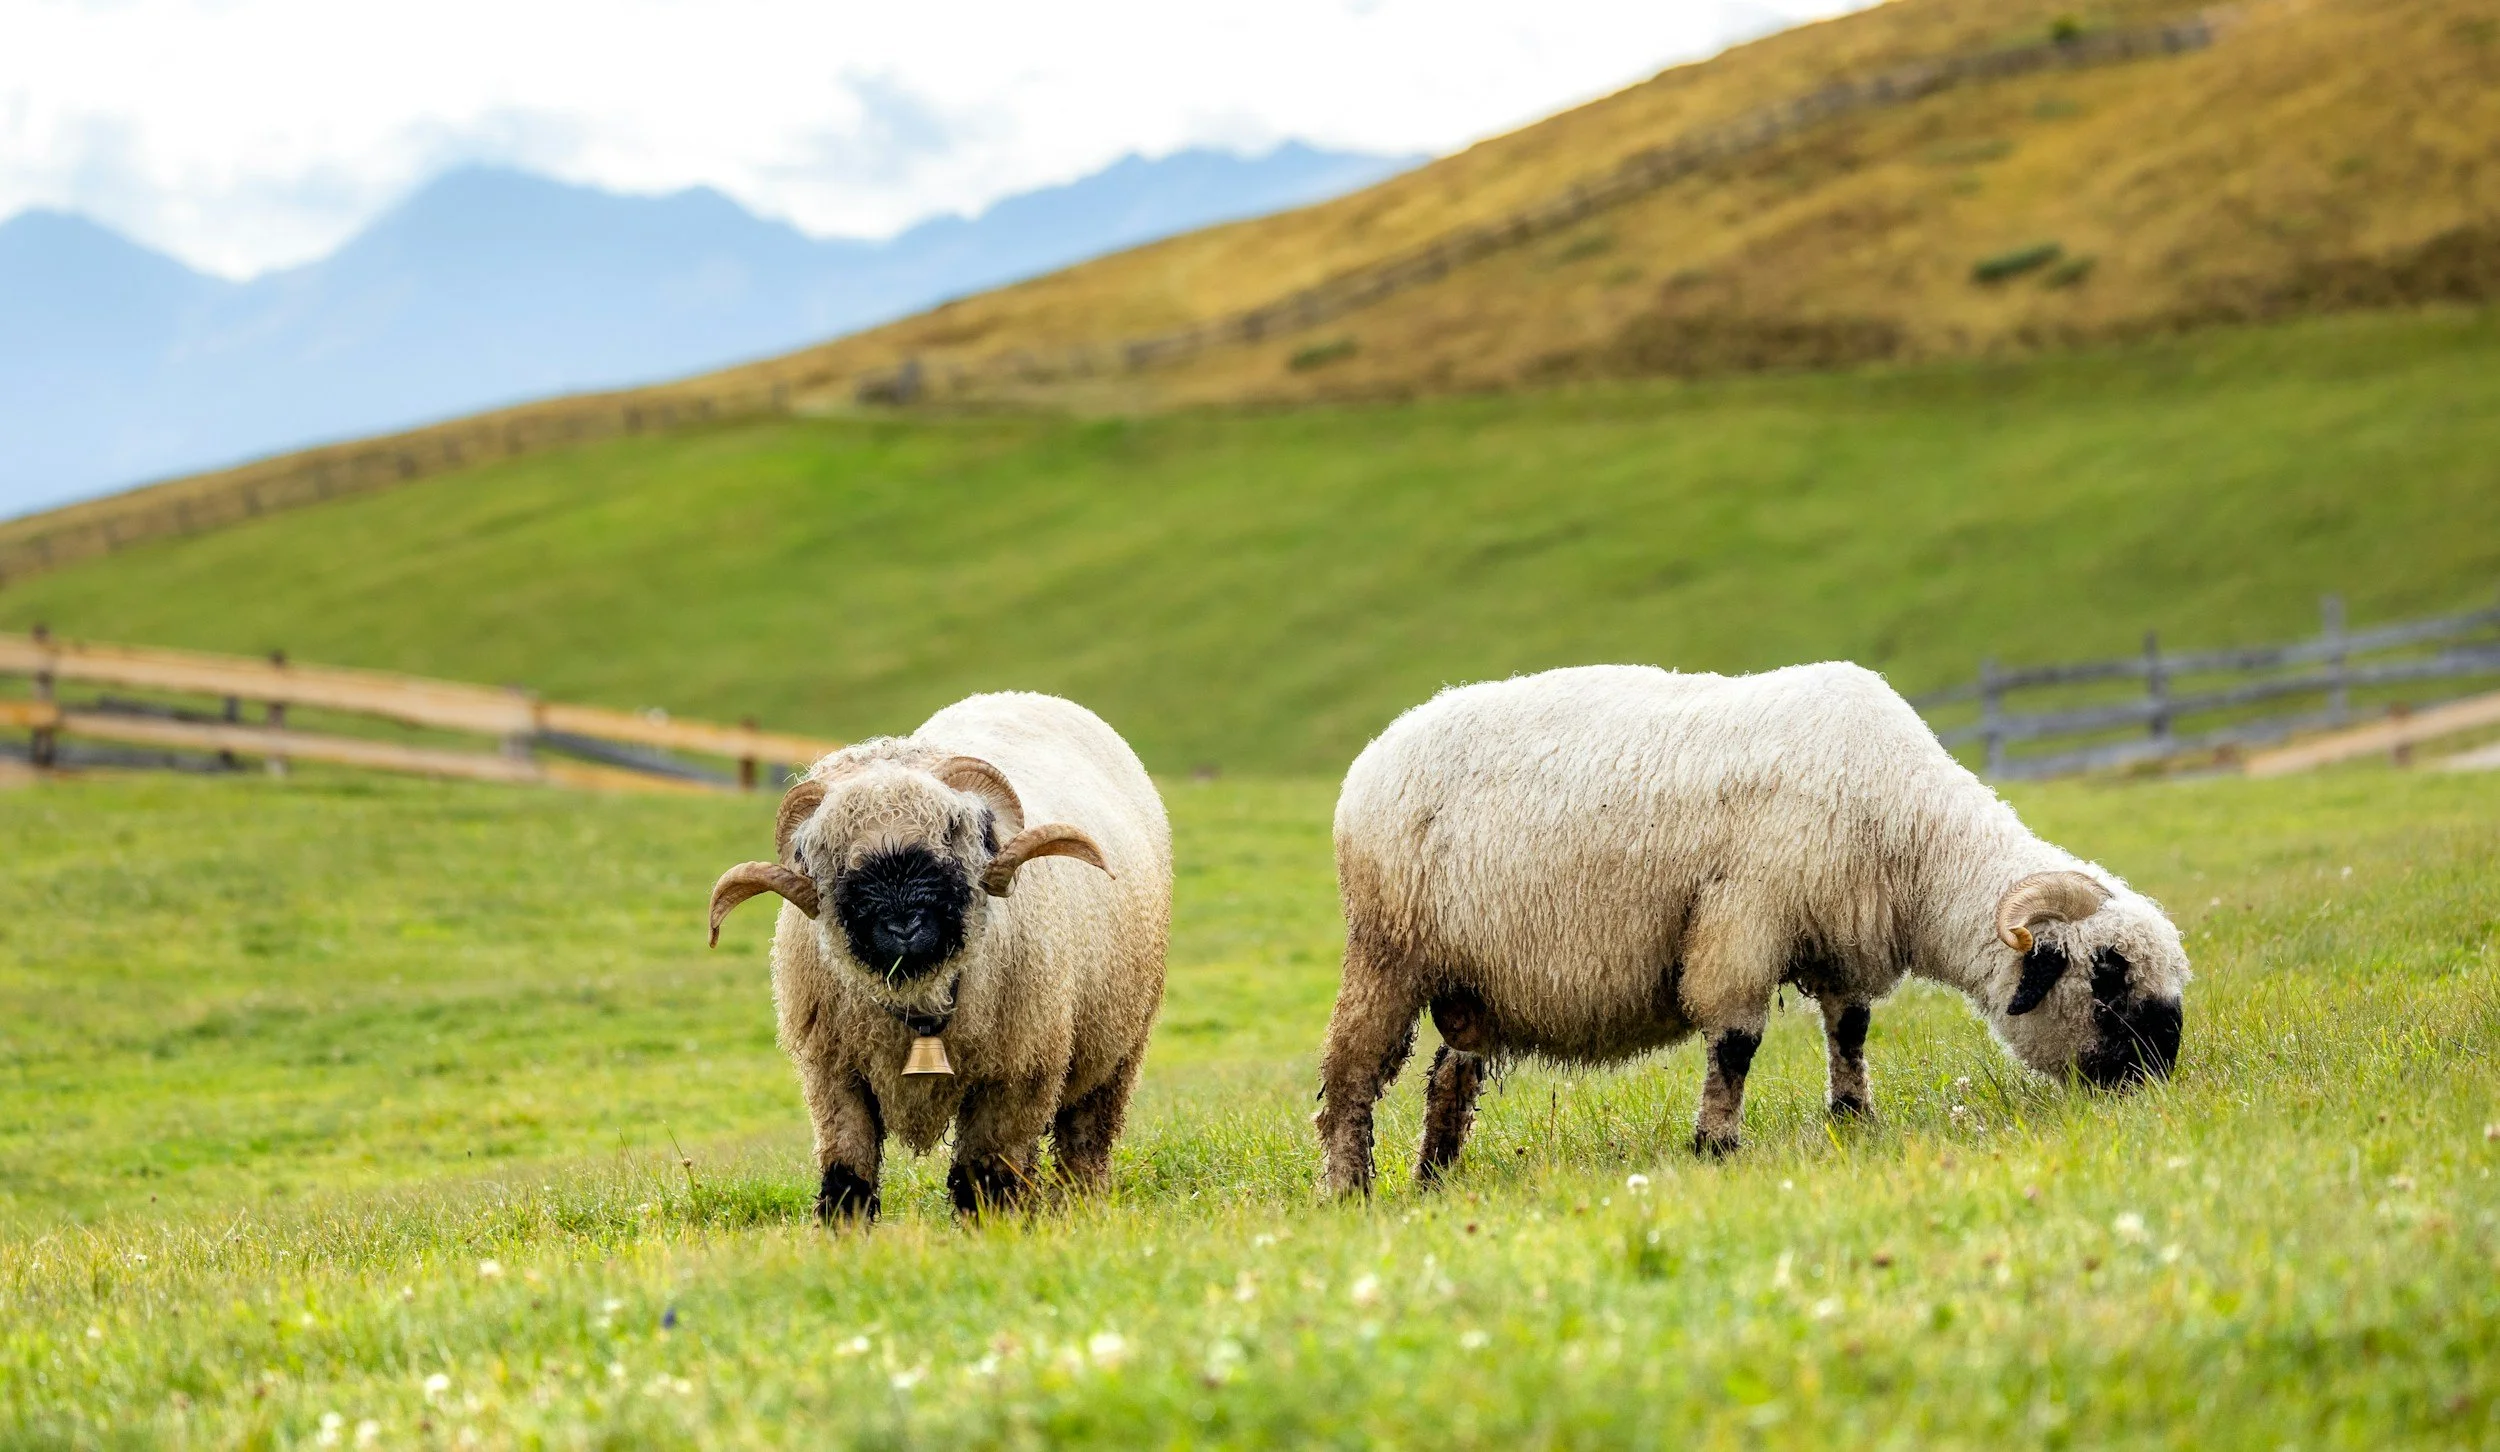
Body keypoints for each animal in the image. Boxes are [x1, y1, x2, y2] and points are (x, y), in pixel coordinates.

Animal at [706, 692, 1171, 1220]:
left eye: (952, 829)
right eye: (828, 849)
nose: (903, 924)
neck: (921, 998)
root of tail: (1023, 694)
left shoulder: (1016, 1077)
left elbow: (986, 1177)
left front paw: (993, 1230)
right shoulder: (834, 1074)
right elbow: (847, 1176)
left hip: (1117, 1049)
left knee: (1085, 1142)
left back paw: (1081, 1207)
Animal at [1316, 662, 2188, 1196]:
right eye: (2107, 976)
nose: (2157, 1081)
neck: (1913, 837)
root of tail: (1373, 755)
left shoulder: (1838, 937)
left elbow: (1850, 1031)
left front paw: (1852, 1120)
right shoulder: (1745, 918)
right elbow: (1735, 1043)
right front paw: (1716, 1145)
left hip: (1470, 981)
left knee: (1449, 1078)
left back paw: (1436, 1179)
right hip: (1387, 949)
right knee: (1350, 1077)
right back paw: (1352, 1188)